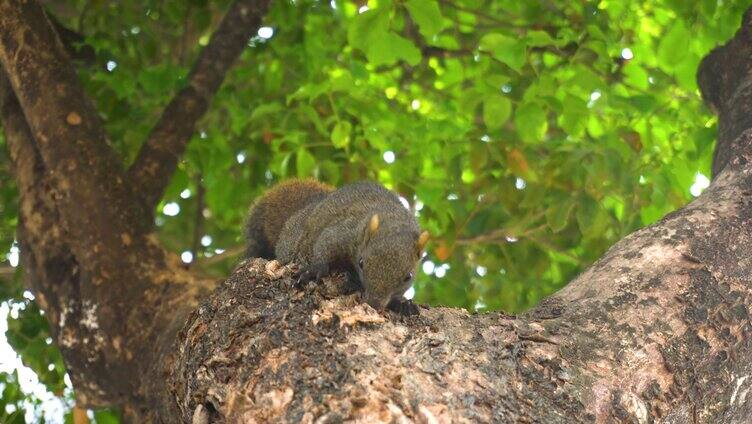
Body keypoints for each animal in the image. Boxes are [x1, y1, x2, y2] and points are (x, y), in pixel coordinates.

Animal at [244, 179, 426, 314]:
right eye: (361, 263)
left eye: (408, 277)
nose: (374, 304)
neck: (392, 219)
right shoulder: (346, 233)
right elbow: (325, 244)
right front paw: (315, 270)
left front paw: (402, 303)